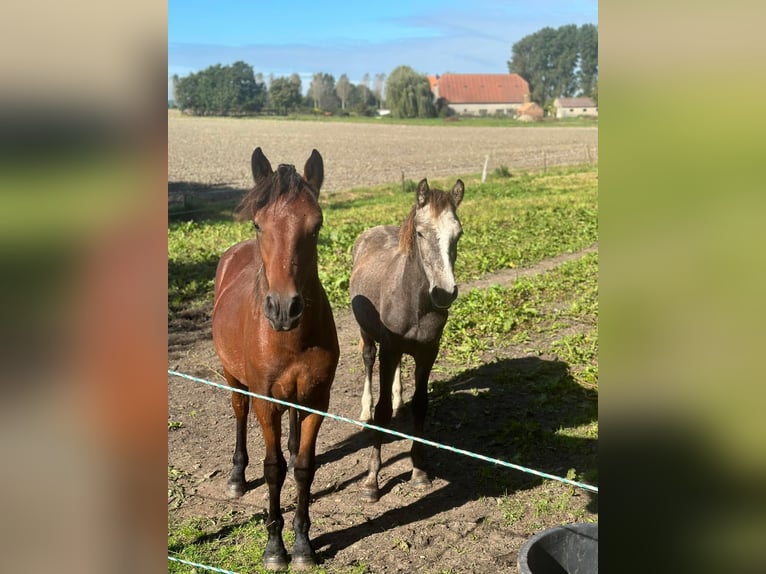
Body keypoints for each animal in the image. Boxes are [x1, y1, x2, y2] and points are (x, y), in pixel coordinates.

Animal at [213, 148, 340, 572]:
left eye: (316, 225)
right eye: (258, 223)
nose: (284, 308)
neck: (289, 340)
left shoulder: (317, 400)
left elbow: (302, 468)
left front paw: (302, 545)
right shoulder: (266, 403)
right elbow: (274, 469)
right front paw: (274, 548)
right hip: (233, 377)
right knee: (238, 412)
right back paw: (237, 476)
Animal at [352, 178, 464, 502]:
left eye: (458, 233)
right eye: (420, 232)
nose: (444, 293)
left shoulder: (428, 352)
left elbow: (421, 405)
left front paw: (419, 471)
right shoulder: (388, 349)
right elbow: (382, 412)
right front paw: (371, 482)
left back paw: (399, 400)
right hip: (368, 335)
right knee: (368, 360)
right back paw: (364, 410)